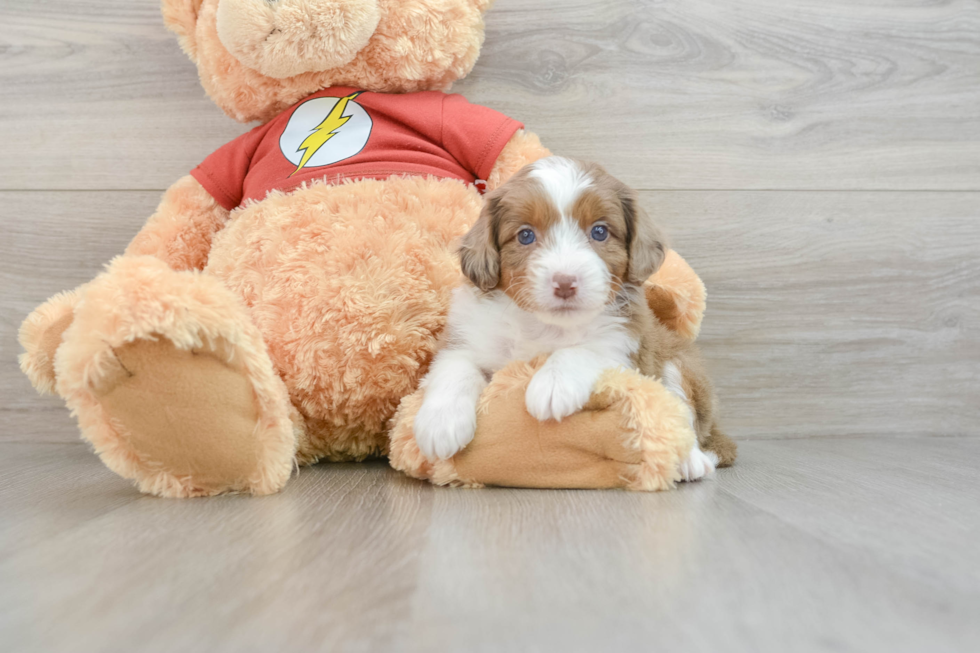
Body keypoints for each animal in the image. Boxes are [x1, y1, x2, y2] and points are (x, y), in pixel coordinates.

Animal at [410, 157, 724, 478]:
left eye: (599, 232)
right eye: (525, 235)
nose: (564, 283)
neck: (544, 325)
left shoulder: (624, 343)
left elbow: (583, 350)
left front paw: (553, 384)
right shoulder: (469, 336)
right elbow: (455, 367)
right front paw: (441, 423)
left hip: (681, 365)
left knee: (683, 412)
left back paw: (691, 460)